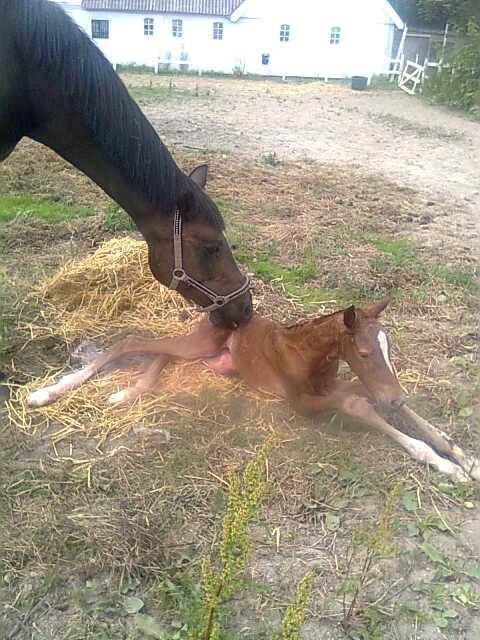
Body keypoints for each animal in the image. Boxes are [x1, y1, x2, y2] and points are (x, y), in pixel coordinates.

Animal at [29, 300, 480, 480]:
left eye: (390, 349)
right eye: (366, 352)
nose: (393, 396)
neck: (311, 354)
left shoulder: (339, 383)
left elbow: (407, 413)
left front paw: (465, 459)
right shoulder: (303, 401)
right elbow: (359, 406)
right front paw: (441, 464)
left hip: (205, 354)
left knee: (161, 356)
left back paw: (131, 391)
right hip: (197, 344)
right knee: (132, 343)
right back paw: (50, 393)